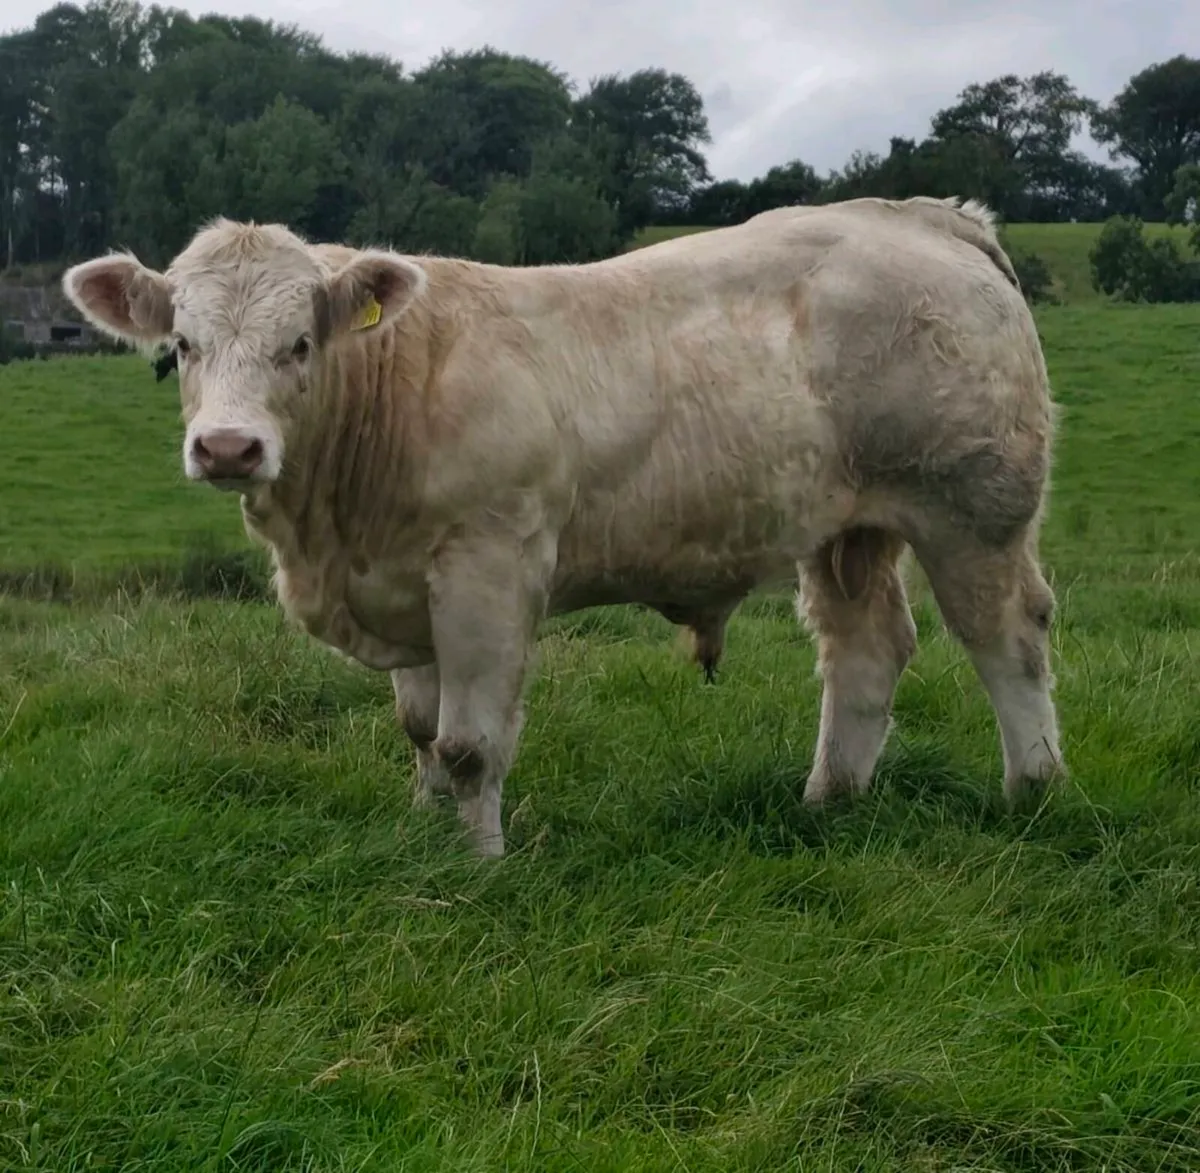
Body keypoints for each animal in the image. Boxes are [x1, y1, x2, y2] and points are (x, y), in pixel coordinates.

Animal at [61, 195, 1066, 857]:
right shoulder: (404, 578)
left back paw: (1034, 790)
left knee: (1007, 638)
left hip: (974, 508)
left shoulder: (488, 569)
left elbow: (470, 743)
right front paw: (423, 833)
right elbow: (422, 730)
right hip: (845, 527)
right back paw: (830, 801)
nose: (228, 446)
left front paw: (477, 864)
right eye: (182, 346)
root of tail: (924, 216)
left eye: (299, 344)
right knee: (866, 647)